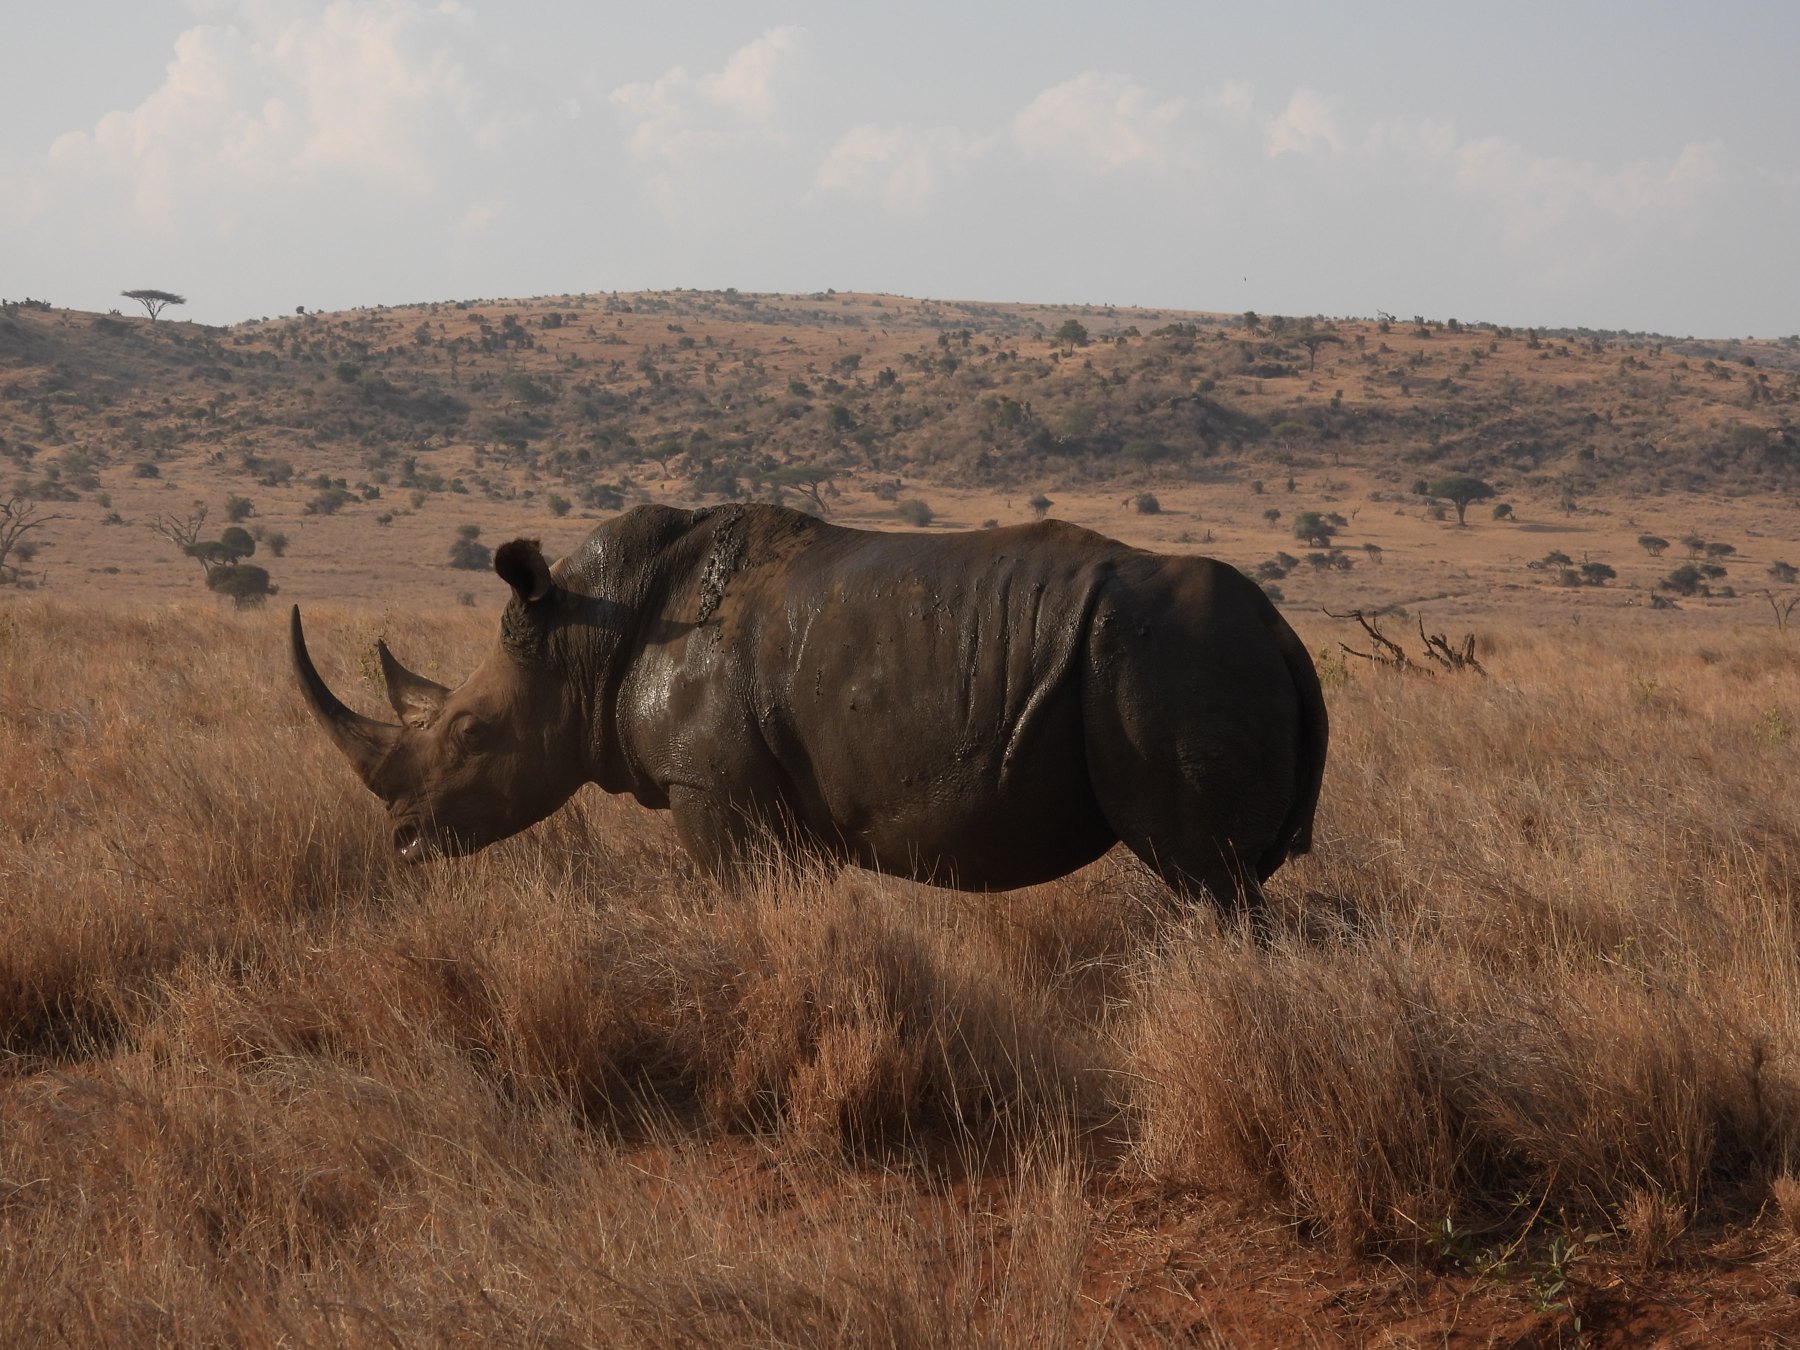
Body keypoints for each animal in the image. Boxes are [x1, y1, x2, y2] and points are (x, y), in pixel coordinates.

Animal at [292, 503, 1327, 914]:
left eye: (472, 734)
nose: (404, 840)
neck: (588, 631)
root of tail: (1284, 635)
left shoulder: (710, 786)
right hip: (1191, 661)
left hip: (1171, 665)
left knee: (1209, 882)